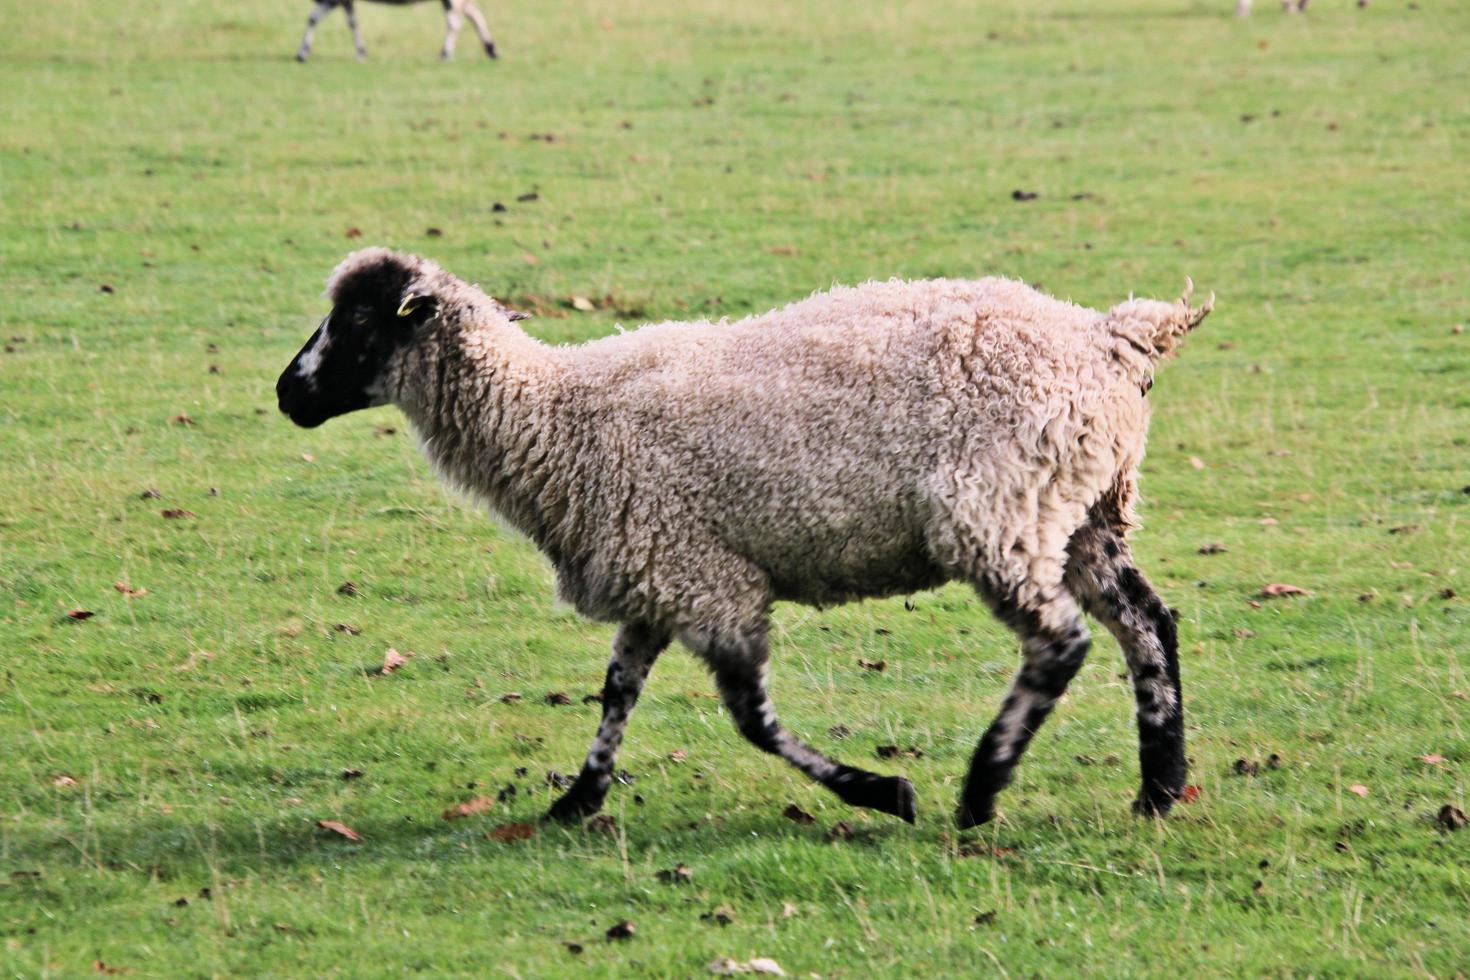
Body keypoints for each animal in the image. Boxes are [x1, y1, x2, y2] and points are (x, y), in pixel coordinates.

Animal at [277, 246, 1217, 828]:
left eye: (357, 323)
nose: (288, 393)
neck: (553, 417)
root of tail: (1110, 336)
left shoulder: (708, 582)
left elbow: (753, 720)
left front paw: (882, 791)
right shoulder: (655, 571)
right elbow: (617, 693)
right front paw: (577, 801)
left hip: (997, 511)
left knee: (1061, 642)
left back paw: (981, 790)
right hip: (1084, 509)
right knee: (1148, 624)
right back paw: (1159, 788)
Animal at [294, 0, 499, 62]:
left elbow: (313, 18)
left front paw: (302, 54)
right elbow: (353, 23)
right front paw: (361, 53)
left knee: (454, 20)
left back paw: (446, 53)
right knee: (473, 12)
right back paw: (491, 49)